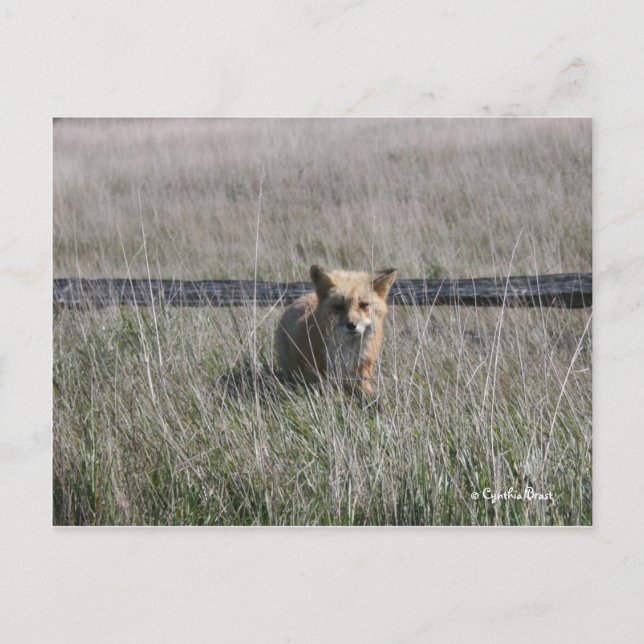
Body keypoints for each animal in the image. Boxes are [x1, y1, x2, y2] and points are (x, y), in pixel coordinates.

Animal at [276, 264, 397, 400]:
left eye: (363, 305)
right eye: (339, 306)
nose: (351, 325)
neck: (347, 351)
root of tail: (305, 296)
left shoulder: (361, 373)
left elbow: (372, 397)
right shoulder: (318, 375)